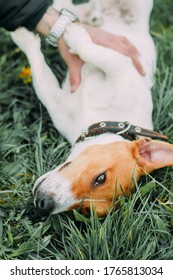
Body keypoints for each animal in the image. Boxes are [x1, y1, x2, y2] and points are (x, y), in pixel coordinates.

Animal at [10, 0, 173, 217]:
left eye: (85, 210)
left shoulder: (55, 100)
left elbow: (40, 72)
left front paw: (25, 38)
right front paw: (73, 35)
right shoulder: (121, 63)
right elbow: (97, 53)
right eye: (101, 177)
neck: (106, 117)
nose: (43, 204)